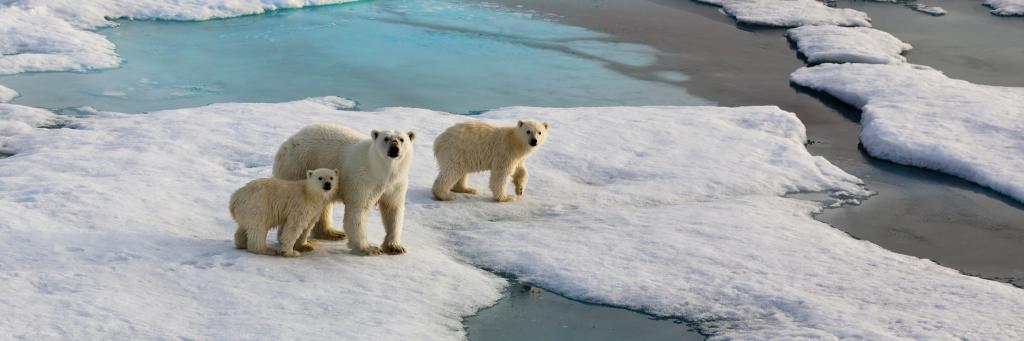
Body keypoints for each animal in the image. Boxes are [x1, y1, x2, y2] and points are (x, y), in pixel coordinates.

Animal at [274, 123, 417, 253]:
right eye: (386, 138)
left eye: (401, 139)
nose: (394, 148)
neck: (381, 170)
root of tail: (287, 143)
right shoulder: (364, 180)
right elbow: (358, 210)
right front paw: (368, 248)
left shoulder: (396, 184)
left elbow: (393, 209)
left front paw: (395, 247)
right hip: (298, 166)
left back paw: (332, 233)